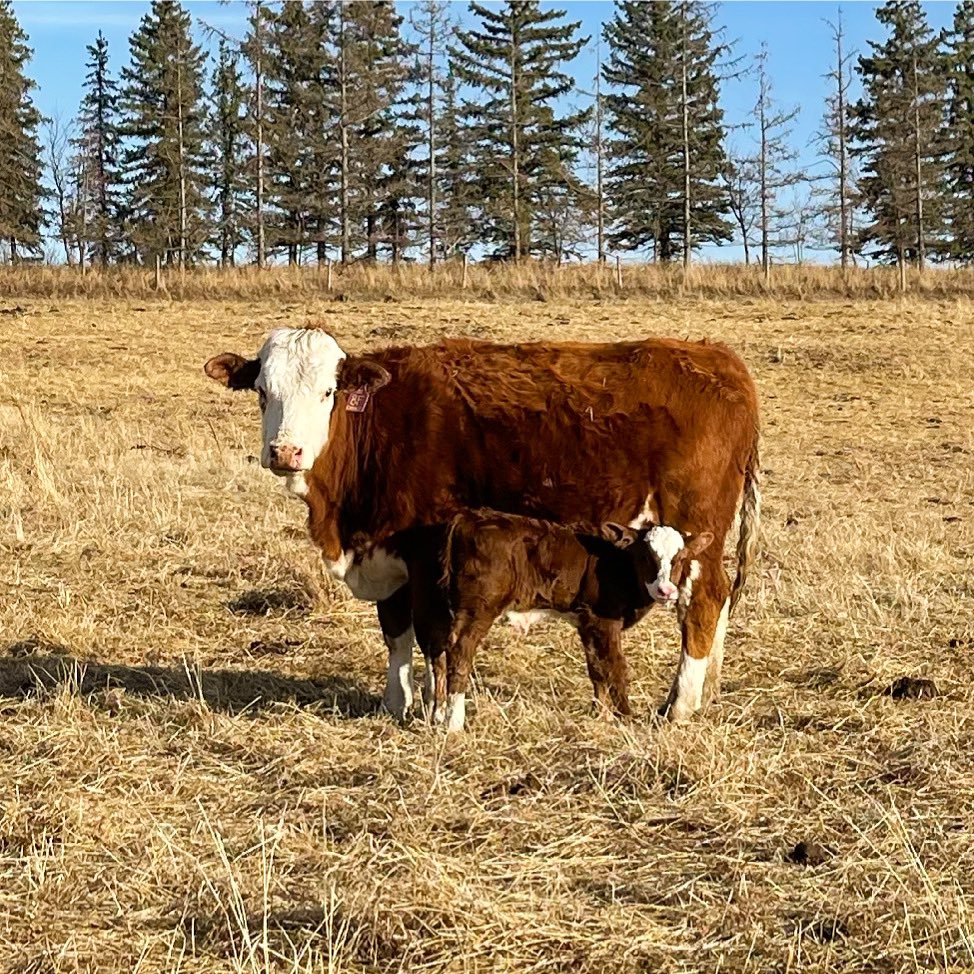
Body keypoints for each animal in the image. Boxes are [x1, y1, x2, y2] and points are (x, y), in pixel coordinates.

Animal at [394, 510, 715, 731]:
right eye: (645, 556)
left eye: (680, 558)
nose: (666, 590)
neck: (617, 565)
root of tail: (465, 519)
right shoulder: (603, 620)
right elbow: (616, 667)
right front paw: (627, 716)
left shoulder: (587, 620)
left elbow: (597, 669)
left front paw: (601, 715)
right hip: (478, 608)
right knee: (459, 651)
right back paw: (454, 723)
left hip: (437, 604)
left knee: (437, 651)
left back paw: (438, 715)